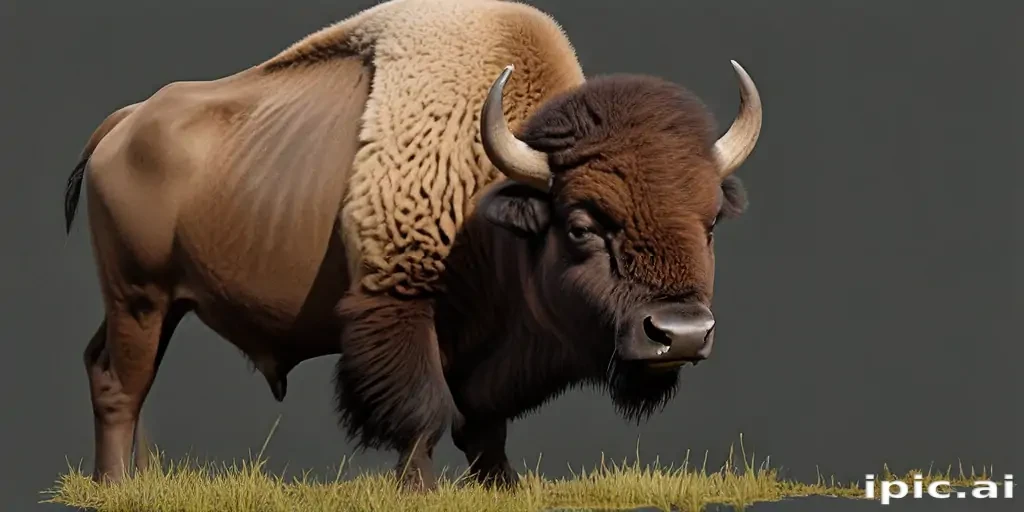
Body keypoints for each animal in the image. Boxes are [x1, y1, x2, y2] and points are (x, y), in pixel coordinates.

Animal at [63, 0, 761, 491]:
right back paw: (116, 485)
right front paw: (420, 489)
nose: (680, 333)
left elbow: (484, 423)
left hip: (153, 308)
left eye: (710, 224)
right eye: (581, 224)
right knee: (122, 383)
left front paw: (502, 485)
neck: (490, 195)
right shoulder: (398, 303)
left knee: (104, 369)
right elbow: (425, 412)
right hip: (139, 299)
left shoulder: (489, 351)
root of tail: (124, 124)